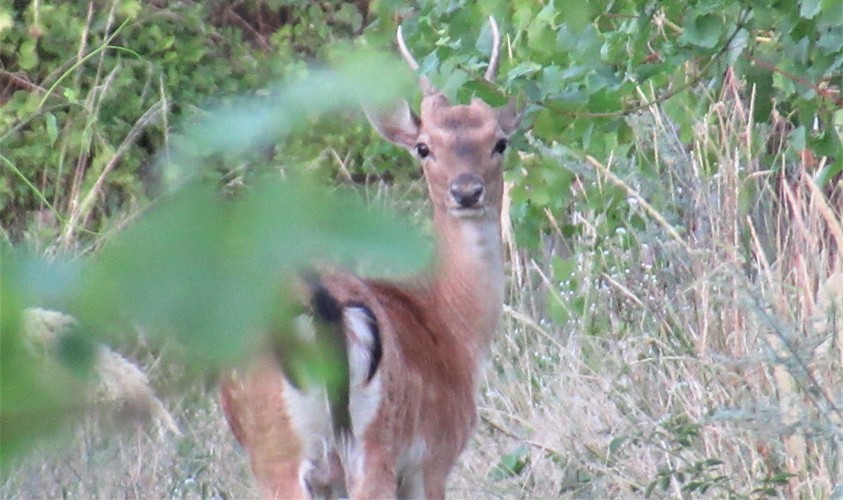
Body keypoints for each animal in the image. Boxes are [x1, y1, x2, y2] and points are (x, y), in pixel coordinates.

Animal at [219, 16, 520, 500]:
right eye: (423, 147)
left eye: (500, 142)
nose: (467, 191)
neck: (456, 329)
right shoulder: (434, 456)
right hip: (371, 438)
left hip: (275, 449)